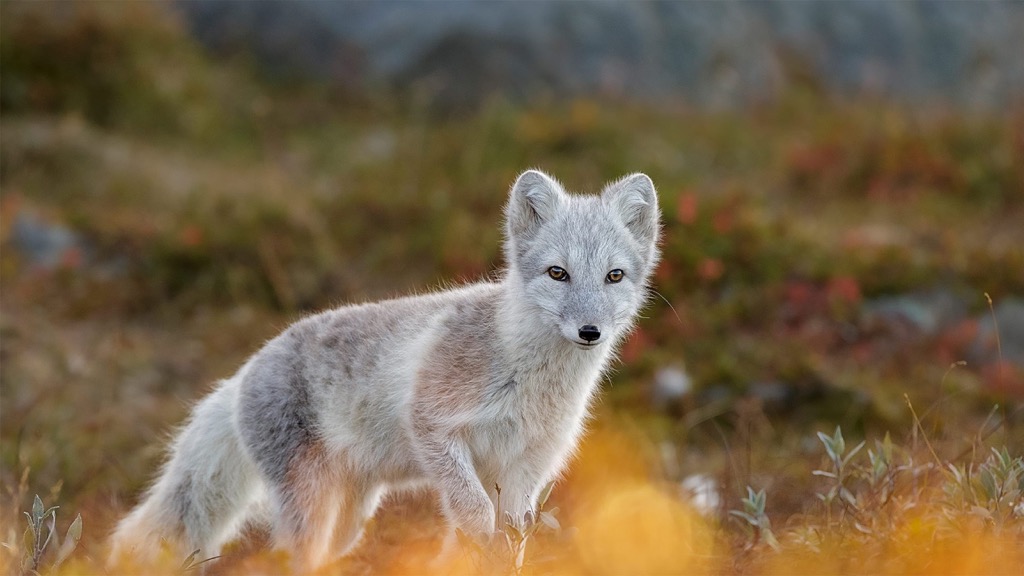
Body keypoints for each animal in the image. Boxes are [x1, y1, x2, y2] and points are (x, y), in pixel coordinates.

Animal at [108, 167, 659, 569]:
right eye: (557, 273)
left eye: (614, 276)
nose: (590, 332)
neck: (531, 380)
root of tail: (246, 370)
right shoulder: (433, 425)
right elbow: (475, 513)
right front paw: (479, 546)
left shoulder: (528, 467)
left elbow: (511, 533)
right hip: (310, 503)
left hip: (350, 516)